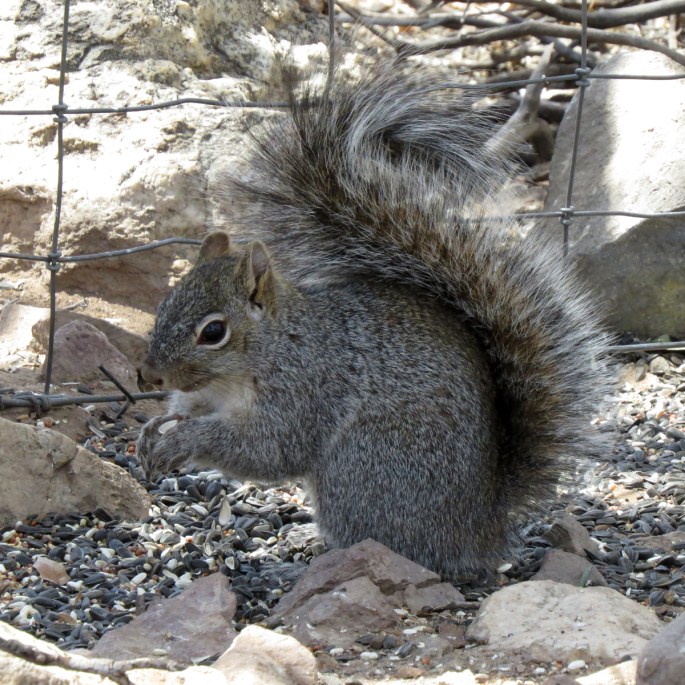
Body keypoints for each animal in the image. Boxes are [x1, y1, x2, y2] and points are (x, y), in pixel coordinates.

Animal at [137, 62, 612, 576]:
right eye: (163, 305)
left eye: (214, 332)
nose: (149, 375)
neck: (268, 350)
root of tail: (479, 533)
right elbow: (190, 410)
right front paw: (156, 429)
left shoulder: (306, 390)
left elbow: (268, 448)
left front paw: (183, 440)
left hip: (361, 467)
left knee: (388, 547)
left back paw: (306, 559)